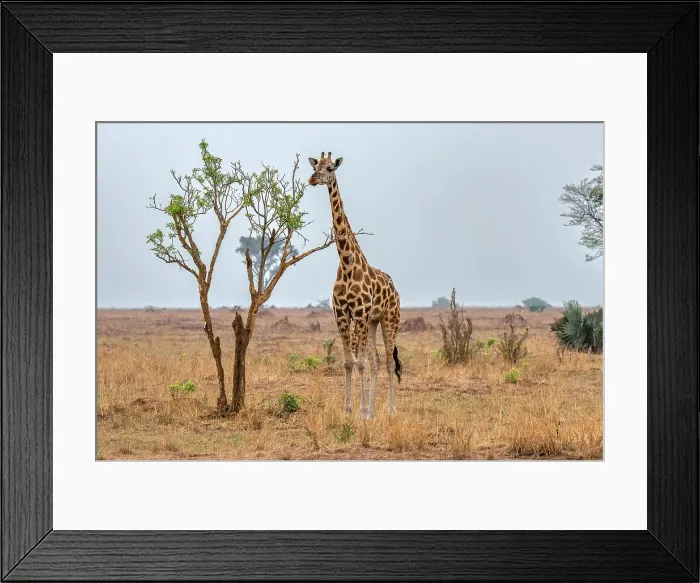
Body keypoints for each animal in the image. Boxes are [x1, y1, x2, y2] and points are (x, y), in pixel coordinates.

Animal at [308, 152, 402, 419]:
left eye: (330, 168)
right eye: (315, 166)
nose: (312, 178)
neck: (347, 263)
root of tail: (395, 289)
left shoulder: (359, 313)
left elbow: (359, 363)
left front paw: (361, 410)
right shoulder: (342, 313)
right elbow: (350, 362)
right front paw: (350, 409)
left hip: (389, 319)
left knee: (388, 362)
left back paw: (390, 409)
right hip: (372, 321)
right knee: (376, 361)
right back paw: (373, 410)